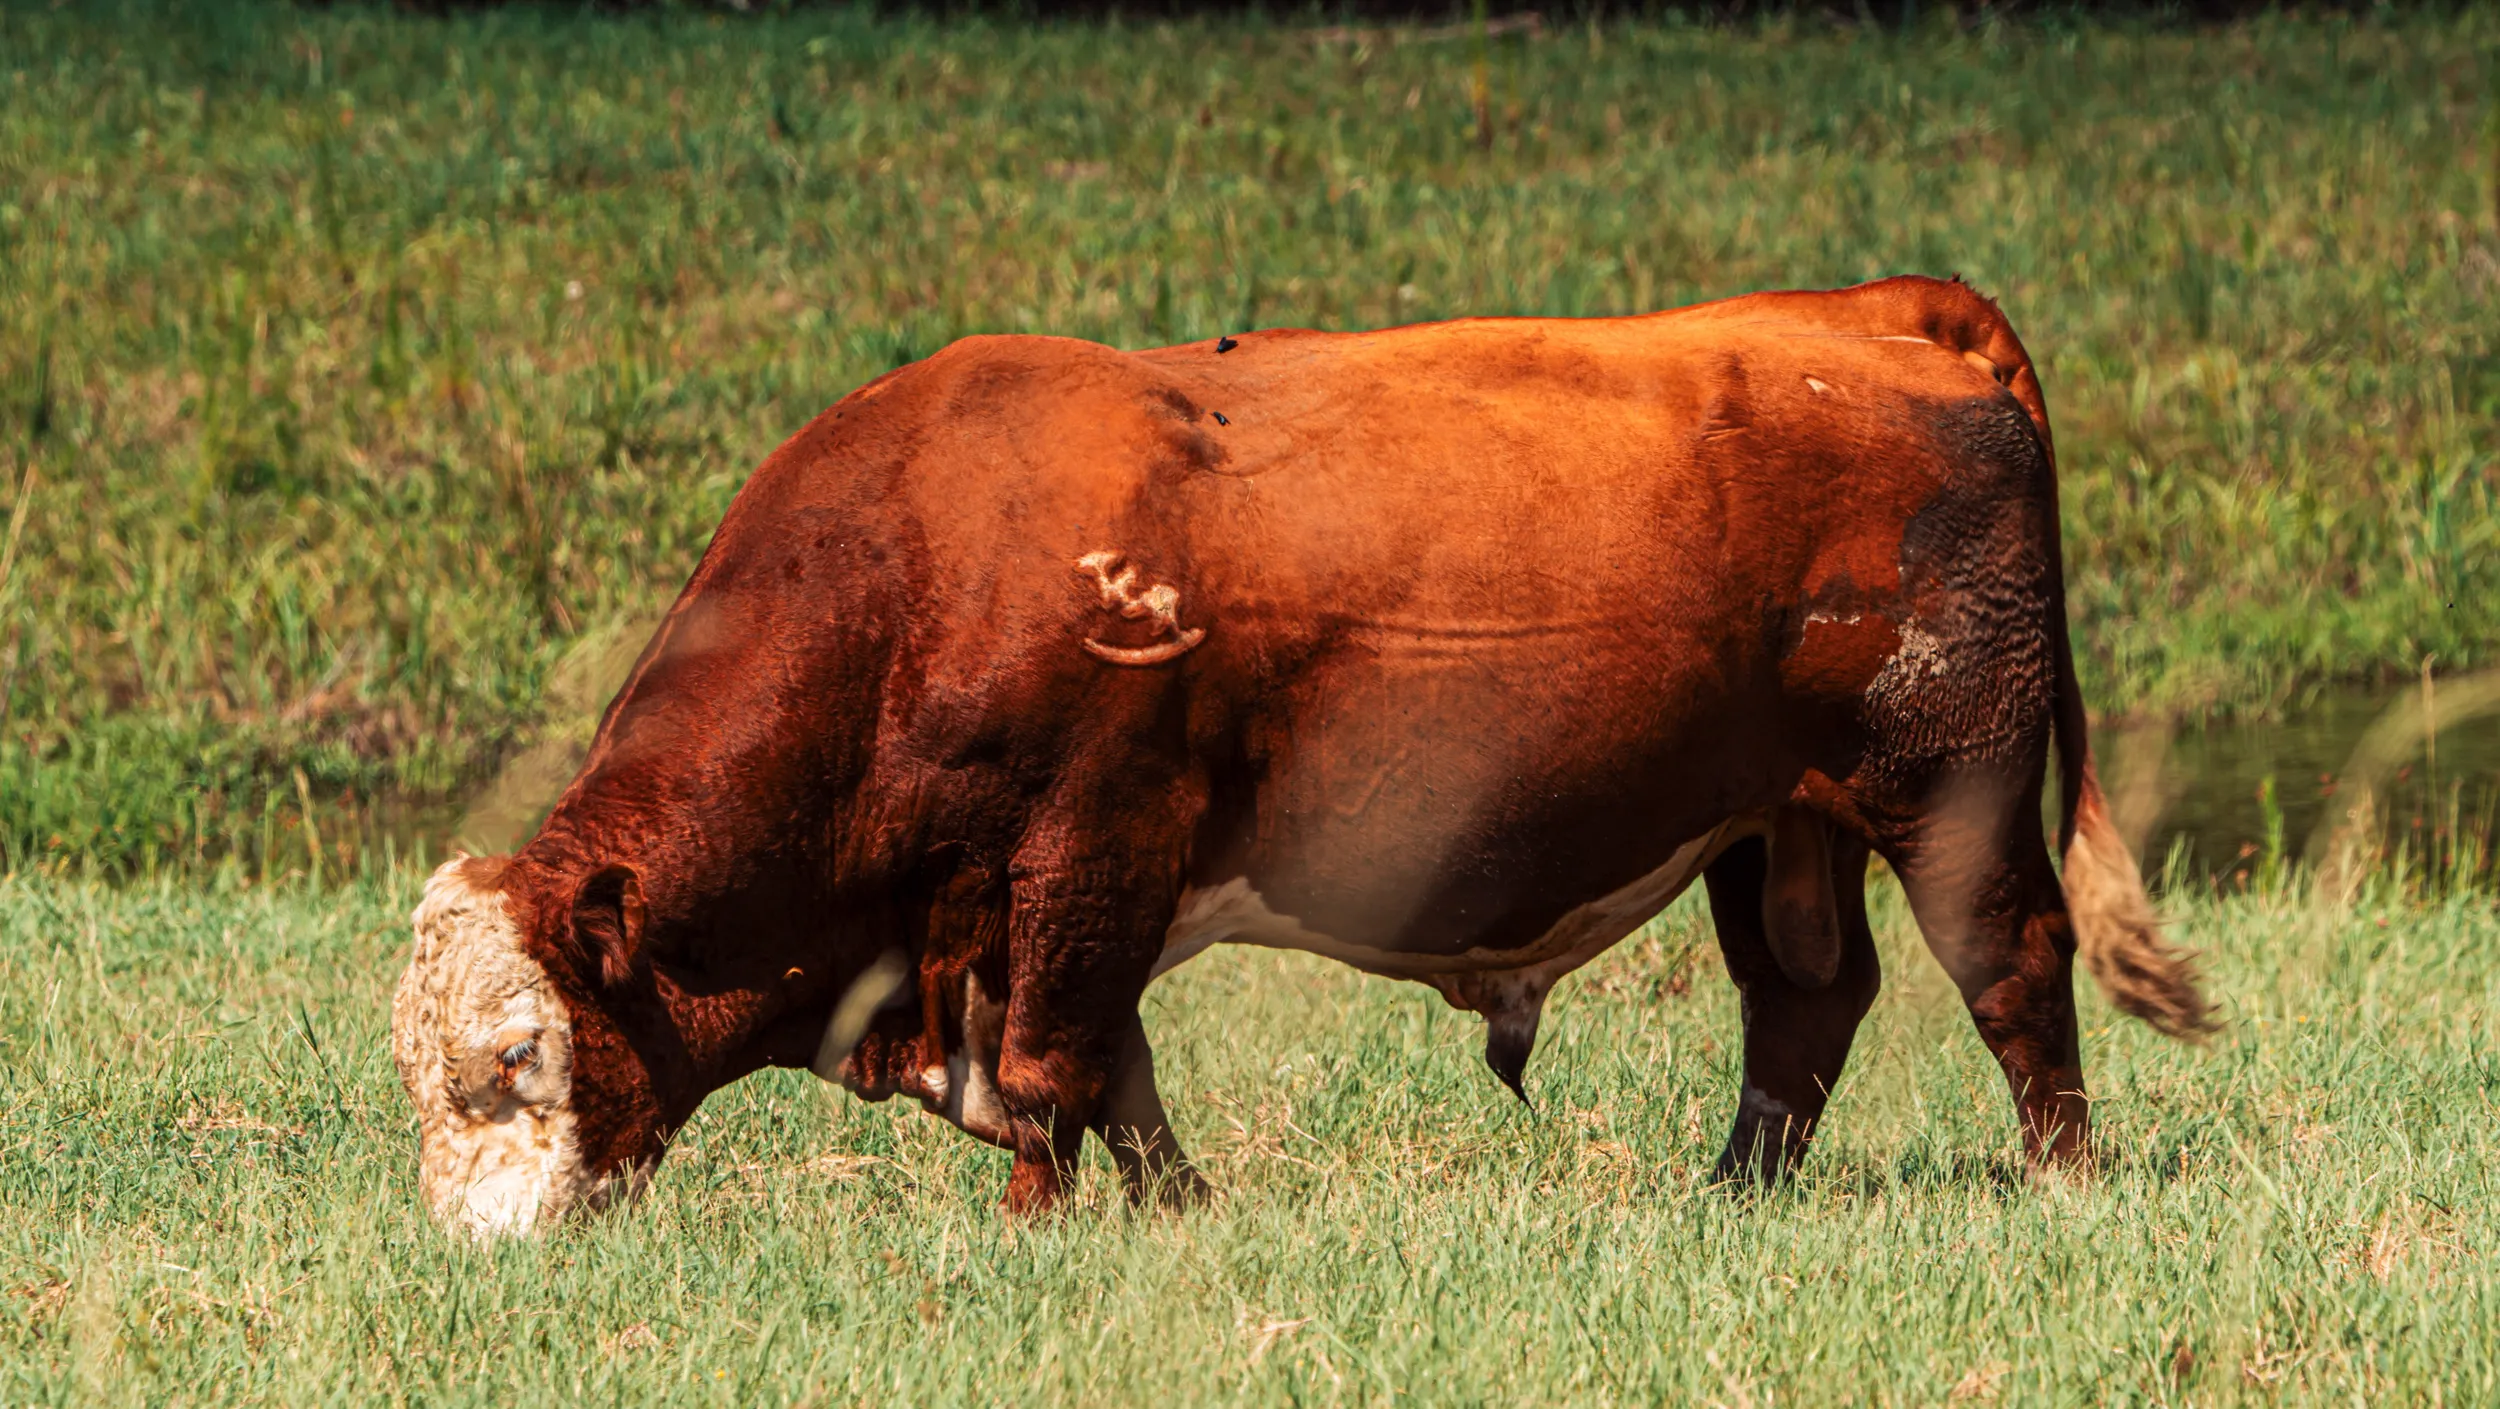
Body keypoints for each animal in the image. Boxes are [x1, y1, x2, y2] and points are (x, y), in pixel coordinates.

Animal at [391, 275, 2212, 1239]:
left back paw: (2060, 1175)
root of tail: (1865, 316)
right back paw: (1734, 1190)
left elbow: (1049, 1069)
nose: (476, 1251)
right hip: (1773, 823)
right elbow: (1116, 1072)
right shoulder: (1068, 896)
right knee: (1806, 1005)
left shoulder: (1089, 850)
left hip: (1950, 788)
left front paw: (1033, 1233)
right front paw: (1175, 1207)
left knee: (2010, 965)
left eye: (517, 1056)